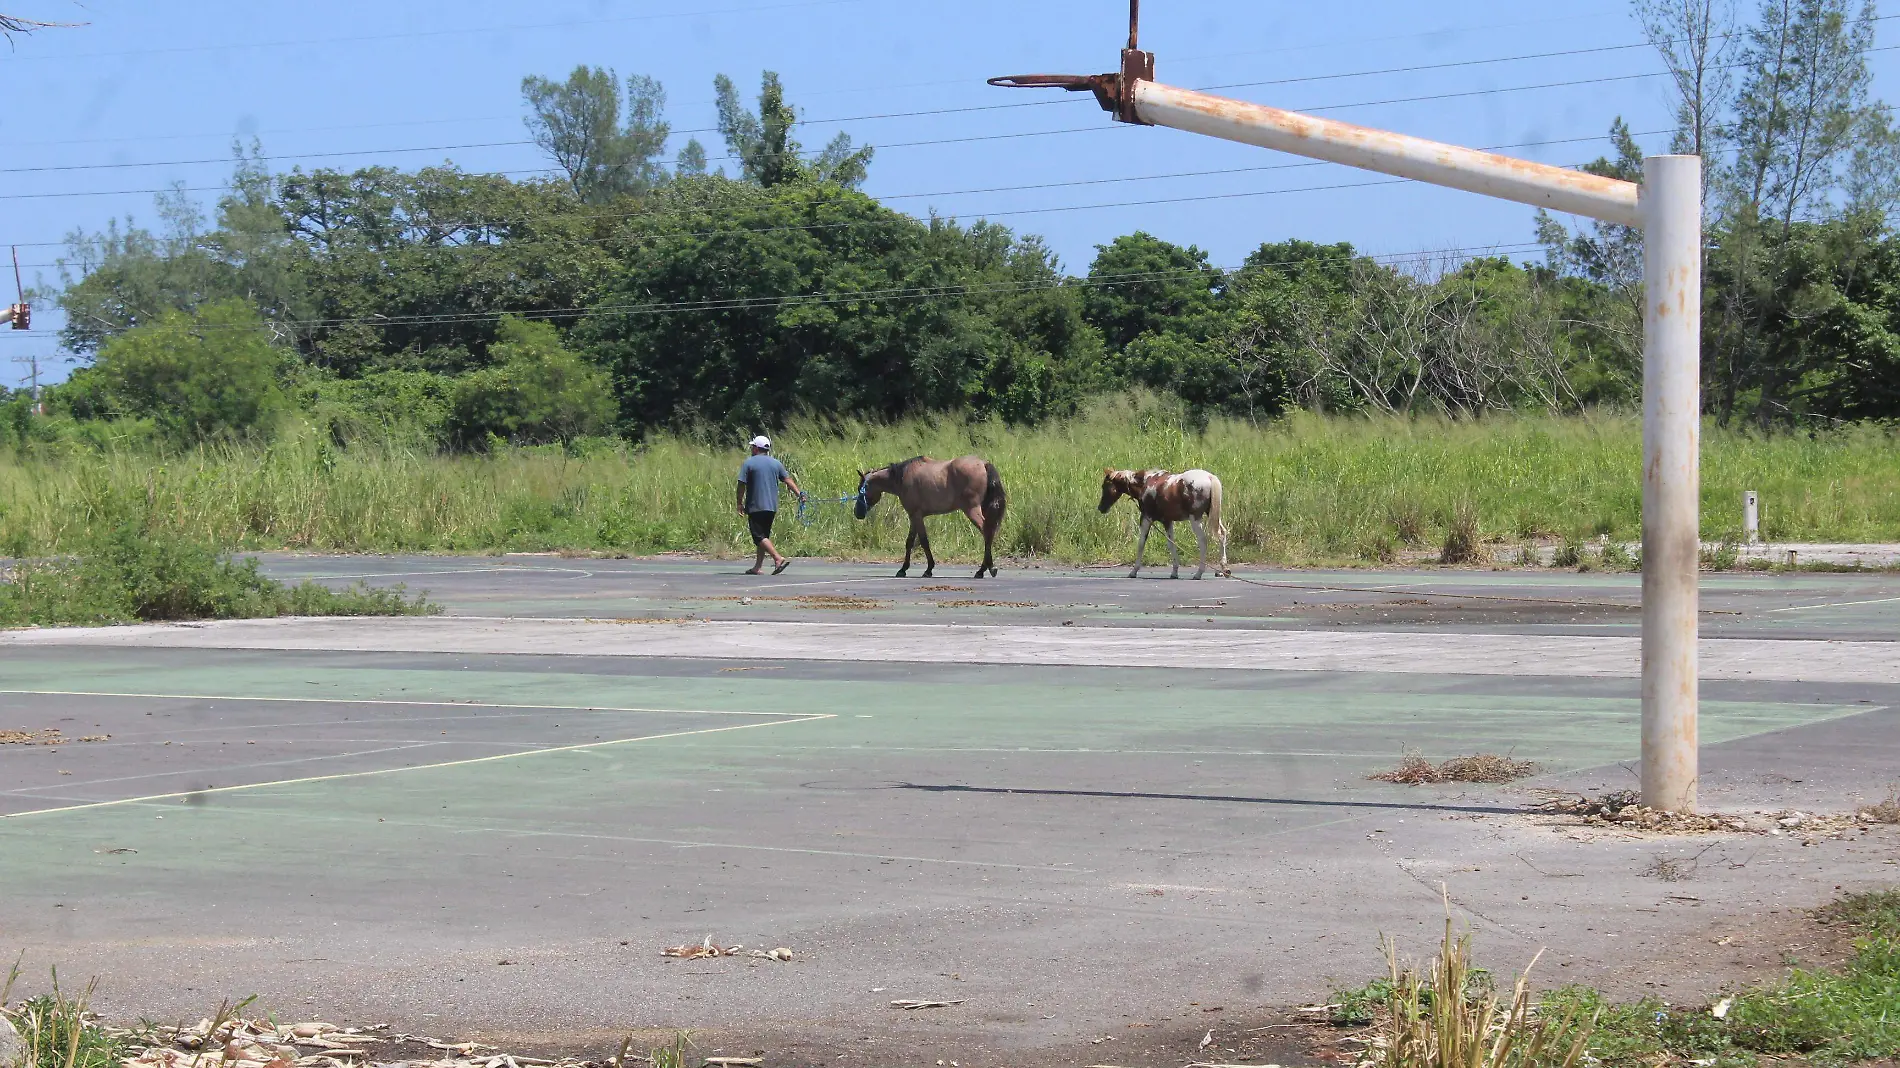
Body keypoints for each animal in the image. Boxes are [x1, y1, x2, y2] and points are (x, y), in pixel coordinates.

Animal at [858, 452, 1010, 577]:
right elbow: (909, 542)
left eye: (861, 489)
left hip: (972, 510)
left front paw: (928, 569)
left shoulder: (916, 516)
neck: (902, 476)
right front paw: (903, 569)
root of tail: (984, 464)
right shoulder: (914, 516)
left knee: (986, 532)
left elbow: (924, 541)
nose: (857, 513)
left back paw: (985, 569)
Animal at [1102, 465, 1231, 577]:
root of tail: (1210, 477)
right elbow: (1171, 543)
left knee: (1203, 540)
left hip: (1195, 519)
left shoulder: (1146, 518)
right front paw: (1174, 572)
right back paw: (1224, 569)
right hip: (1211, 514)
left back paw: (1199, 573)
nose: (1101, 508)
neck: (1145, 483)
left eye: (1104, 486)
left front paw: (1134, 571)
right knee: (1222, 534)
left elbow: (1141, 543)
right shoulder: (1167, 521)